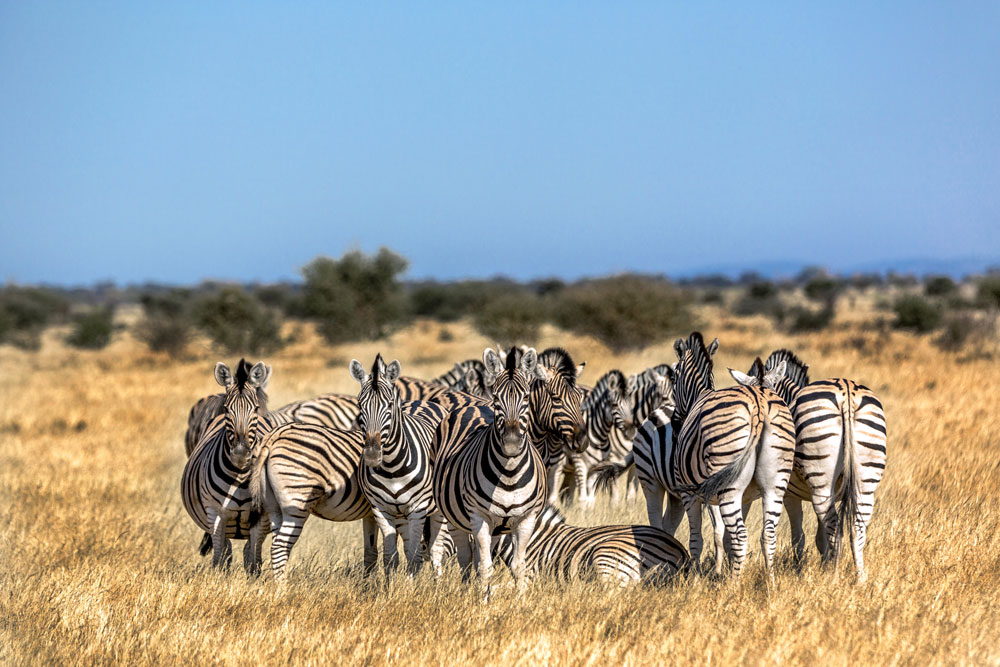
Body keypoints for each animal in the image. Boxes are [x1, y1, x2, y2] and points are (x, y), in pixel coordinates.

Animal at [182, 360, 290, 576]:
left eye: (255, 409)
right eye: (227, 409)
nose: (240, 454)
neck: (239, 476)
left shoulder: (260, 517)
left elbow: (254, 562)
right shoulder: (216, 515)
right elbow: (219, 559)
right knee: (226, 552)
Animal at [350, 352, 448, 576]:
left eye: (389, 404)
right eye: (360, 405)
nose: (371, 455)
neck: (392, 468)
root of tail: (425, 402)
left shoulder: (418, 509)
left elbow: (414, 557)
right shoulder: (380, 509)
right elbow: (390, 556)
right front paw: (391, 585)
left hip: (437, 510)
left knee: (436, 551)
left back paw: (438, 582)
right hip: (401, 515)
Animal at [434, 348, 552, 596]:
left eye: (526, 397)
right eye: (498, 398)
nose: (511, 444)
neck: (509, 475)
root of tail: (475, 403)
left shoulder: (526, 519)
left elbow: (518, 566)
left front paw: (520, 600)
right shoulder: (479, 516)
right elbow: (485, 566)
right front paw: (482, 602)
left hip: (498, 528)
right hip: (454, 518)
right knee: (466, 559)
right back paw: (467, 591)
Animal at [736, 350, 884, 580]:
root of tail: (846, 391)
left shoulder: (789, 495)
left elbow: (799, 537)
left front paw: (800, 569)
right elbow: (819, 537)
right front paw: (822, 564)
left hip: (821, 481)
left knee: (835, 526)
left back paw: (834, 576)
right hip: (865, 478)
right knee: (857, 526)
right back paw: (859, 577)